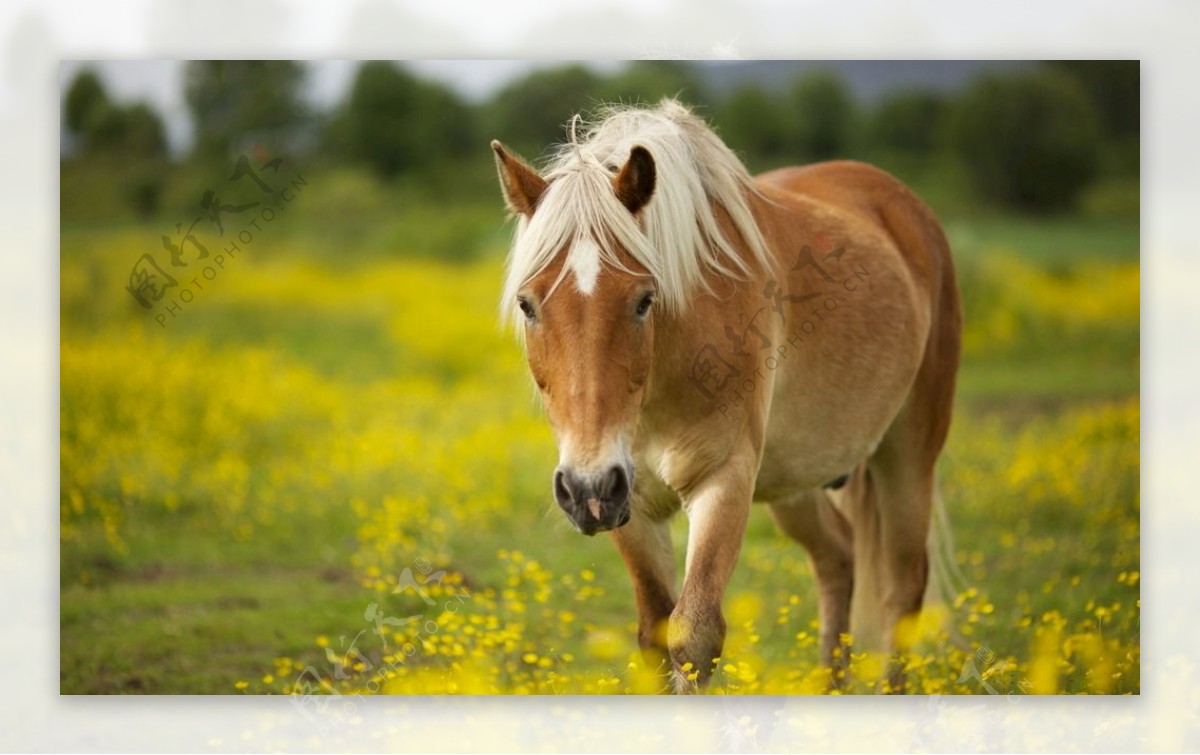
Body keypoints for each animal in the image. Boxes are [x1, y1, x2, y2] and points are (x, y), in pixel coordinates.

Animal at [492, 100, 960, 696]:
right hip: (796, 478)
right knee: (838, 557)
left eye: (643, 300)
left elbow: (694, 635)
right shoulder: (632, 504)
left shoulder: (723, 479)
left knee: (902, 592)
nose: (588, 489)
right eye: (528, 304)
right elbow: (654, 635)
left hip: (907, 455)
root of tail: (906, 208)